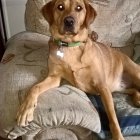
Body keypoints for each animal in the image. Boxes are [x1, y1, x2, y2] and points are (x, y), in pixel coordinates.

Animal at [17, 0, 140, 139]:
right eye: (60, 7)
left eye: (79, 8)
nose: (69, 21)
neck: (70, 46)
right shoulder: (54, 77)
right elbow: (35, 87)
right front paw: (25, 109)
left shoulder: (102, 86)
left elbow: (112, 118)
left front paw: (118, 136)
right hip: (121, 87)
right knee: (134, 90)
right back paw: (137, 99)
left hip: (134, 73)